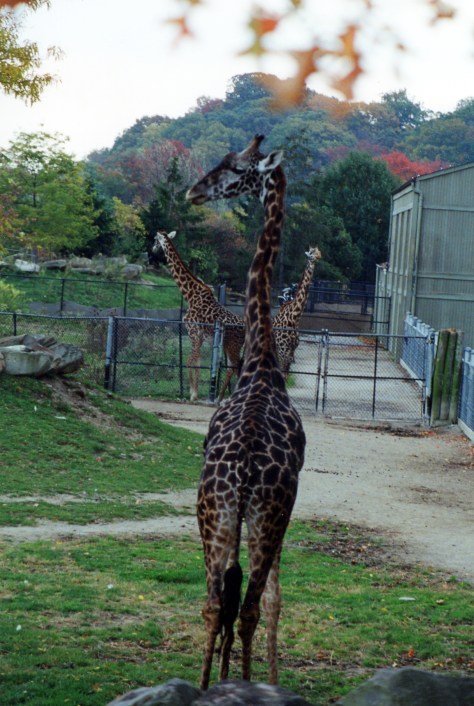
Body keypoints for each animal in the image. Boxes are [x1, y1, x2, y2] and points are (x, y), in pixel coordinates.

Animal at [152, 230, 244, 403]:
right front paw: (195, 393)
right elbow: (198, 362)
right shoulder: (199, 336)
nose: (153, 249)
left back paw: (228, 398)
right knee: (234, 367)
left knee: (236, 366)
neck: (190, 294)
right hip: (230, 345)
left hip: (233, 345)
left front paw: (192, 394)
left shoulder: (193, 332)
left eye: (155, 240)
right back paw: (223, 398)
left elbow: (189, 361)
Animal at [273, 246, 322, 378]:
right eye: (311, 253)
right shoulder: (283, 353)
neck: (294, 317)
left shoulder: (290, 353)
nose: (318, 257)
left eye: (319, 252)